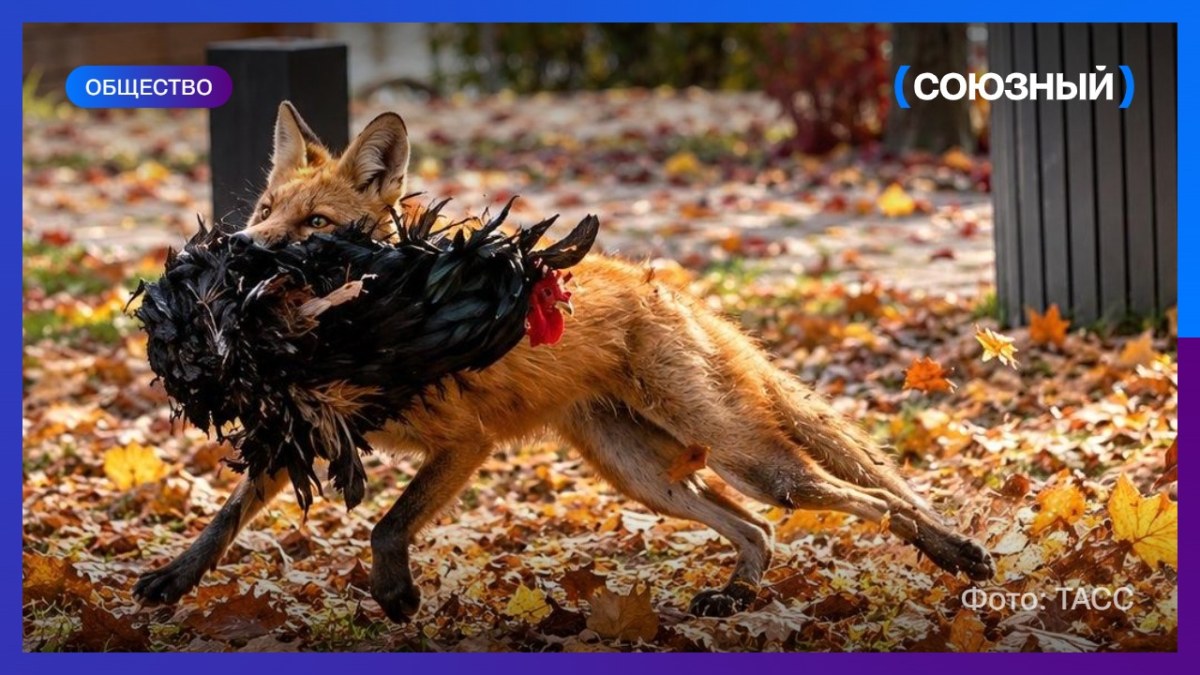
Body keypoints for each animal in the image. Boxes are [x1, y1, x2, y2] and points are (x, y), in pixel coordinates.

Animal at [133, 101, 995, 622]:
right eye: (264, 210)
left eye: (315, 223)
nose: (239, 249)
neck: (363, 325)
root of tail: (665, 283)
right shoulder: (305, 426)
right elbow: (225, 519)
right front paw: (174, 580)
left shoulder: (465, 442)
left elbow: (386, 524)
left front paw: (397, 594)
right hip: (647, 476)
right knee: (757, 530)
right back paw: (735, 595)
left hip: (751, 461)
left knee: (866, 501)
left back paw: (924, 560)